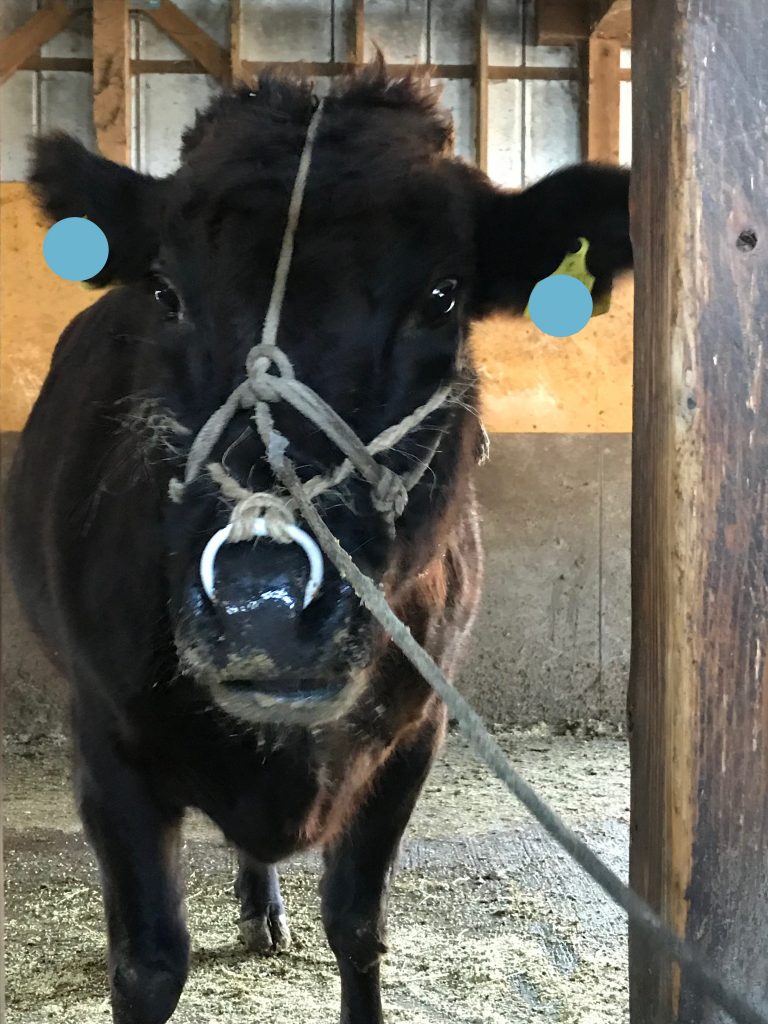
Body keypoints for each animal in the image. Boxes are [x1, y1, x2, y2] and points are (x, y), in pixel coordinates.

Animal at [6, 64, 630, 1024]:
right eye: (166, 293)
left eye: (443, 295)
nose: (259, 599)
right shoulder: (106, 740)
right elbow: (147, 963)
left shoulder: (415, 733)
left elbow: (358, 924)